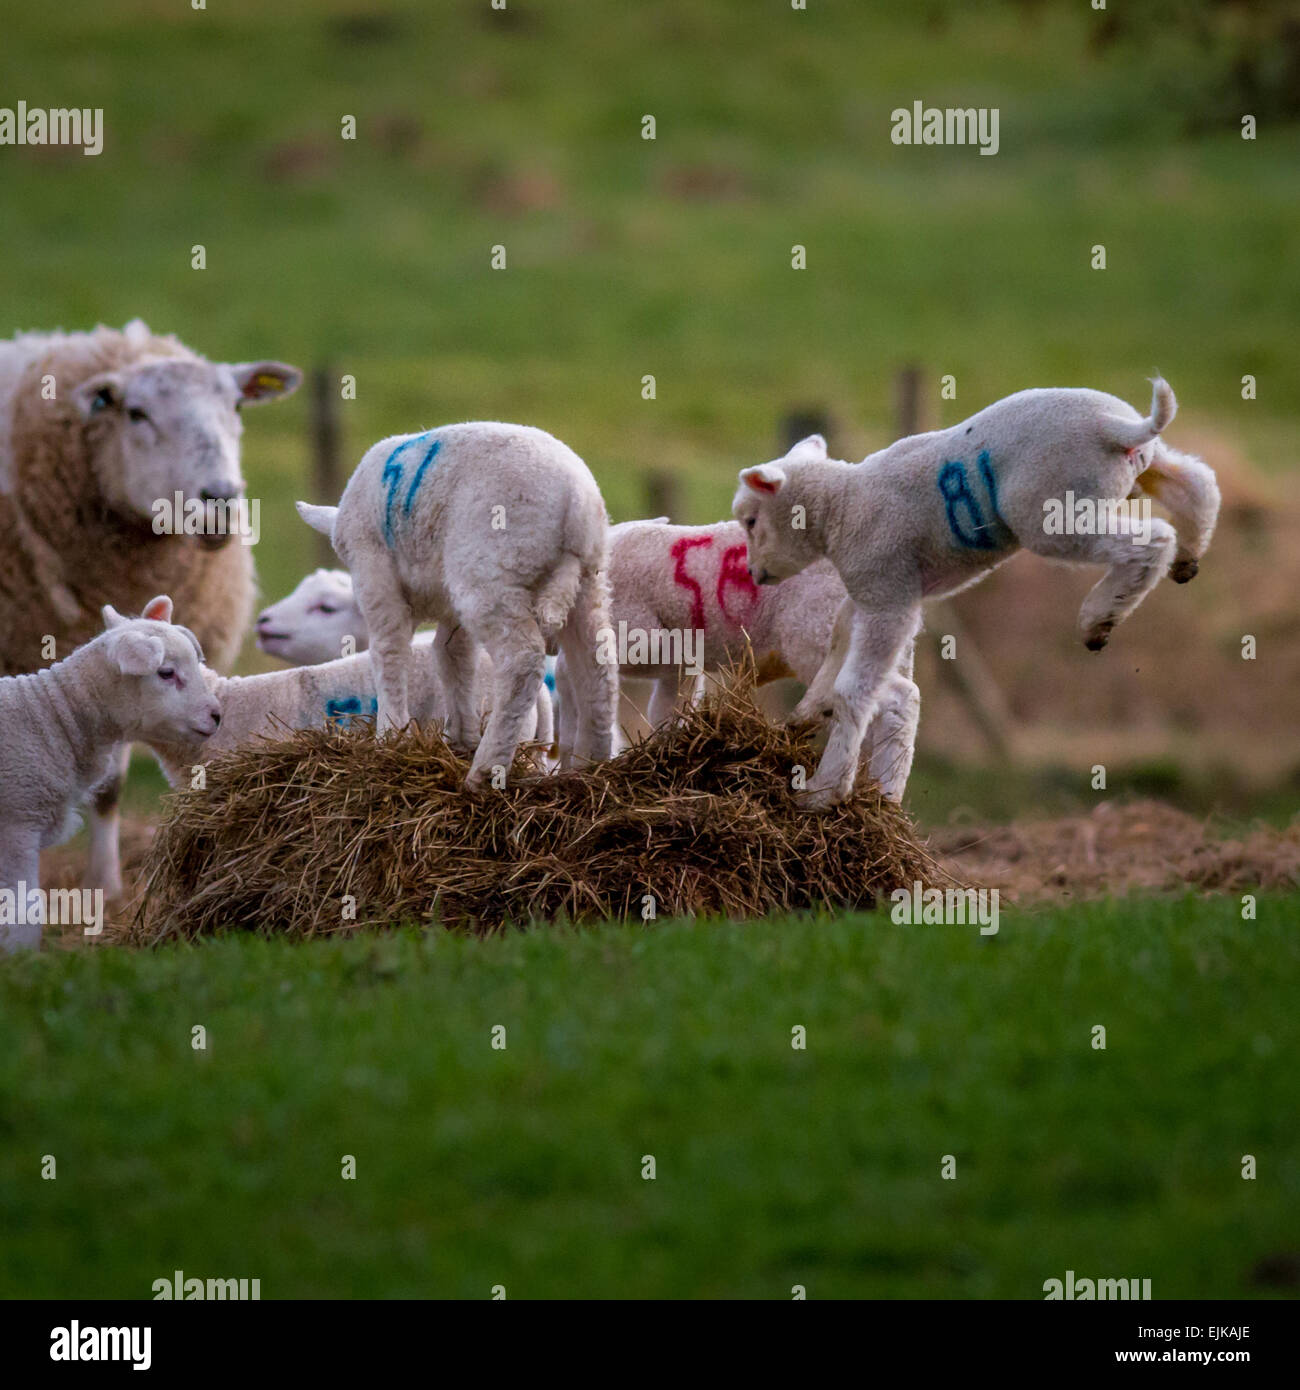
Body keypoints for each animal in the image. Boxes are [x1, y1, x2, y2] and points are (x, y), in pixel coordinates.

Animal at [0, 597, 221, 956]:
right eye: (166, 673)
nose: (217, 715)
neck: (49, 717)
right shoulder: (16, 825)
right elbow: (23, 914)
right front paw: (22, 959)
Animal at [297, 417, 617, 789]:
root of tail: (576, 502)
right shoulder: (450, 608)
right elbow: (453, 656)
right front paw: (461, 737)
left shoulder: (374, 573)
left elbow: (389, 651)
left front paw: (391, 736)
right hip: (588, 582)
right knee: (598, 666)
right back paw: (589, 764)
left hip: (489, 570)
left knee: (522, 661)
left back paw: (485, 770)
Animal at [558, 519, 923, 806]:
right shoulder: (679, 663)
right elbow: (666, 709)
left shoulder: (642, 637)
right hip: (889, 644)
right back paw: (884, 794)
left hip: (820, 633)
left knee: (897, 699)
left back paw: (844, 792)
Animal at [739, 380, 1223, 811]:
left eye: (749, 521)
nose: (752, 573)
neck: (841, 506)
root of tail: (1116, 427)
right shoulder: (870, 594)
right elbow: (838, 642)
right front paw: (807, 714)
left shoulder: (887, 598)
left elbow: (854, 688)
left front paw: (823, 793)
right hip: (1137, 472)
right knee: (1197, 481)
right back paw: (1190, 555)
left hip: (1056, 517)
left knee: (1152, 540)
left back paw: (1099, 617)